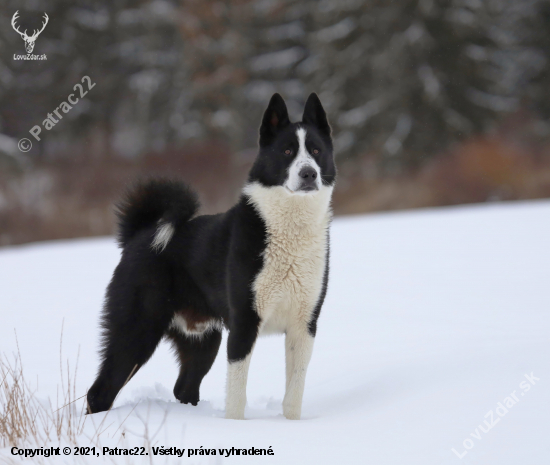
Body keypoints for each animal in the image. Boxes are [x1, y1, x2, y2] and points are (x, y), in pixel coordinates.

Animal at [87, 92, 336, 418]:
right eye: (286, 151)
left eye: (316, 150)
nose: (309, 173)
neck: (289, 227)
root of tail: (138, 235)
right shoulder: (244, 323)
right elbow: (237, 394)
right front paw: (235, 425)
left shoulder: (303, 325)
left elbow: (294, 393)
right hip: (137, 331)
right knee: (100, 391)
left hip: (203, 339)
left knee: (184, 387)